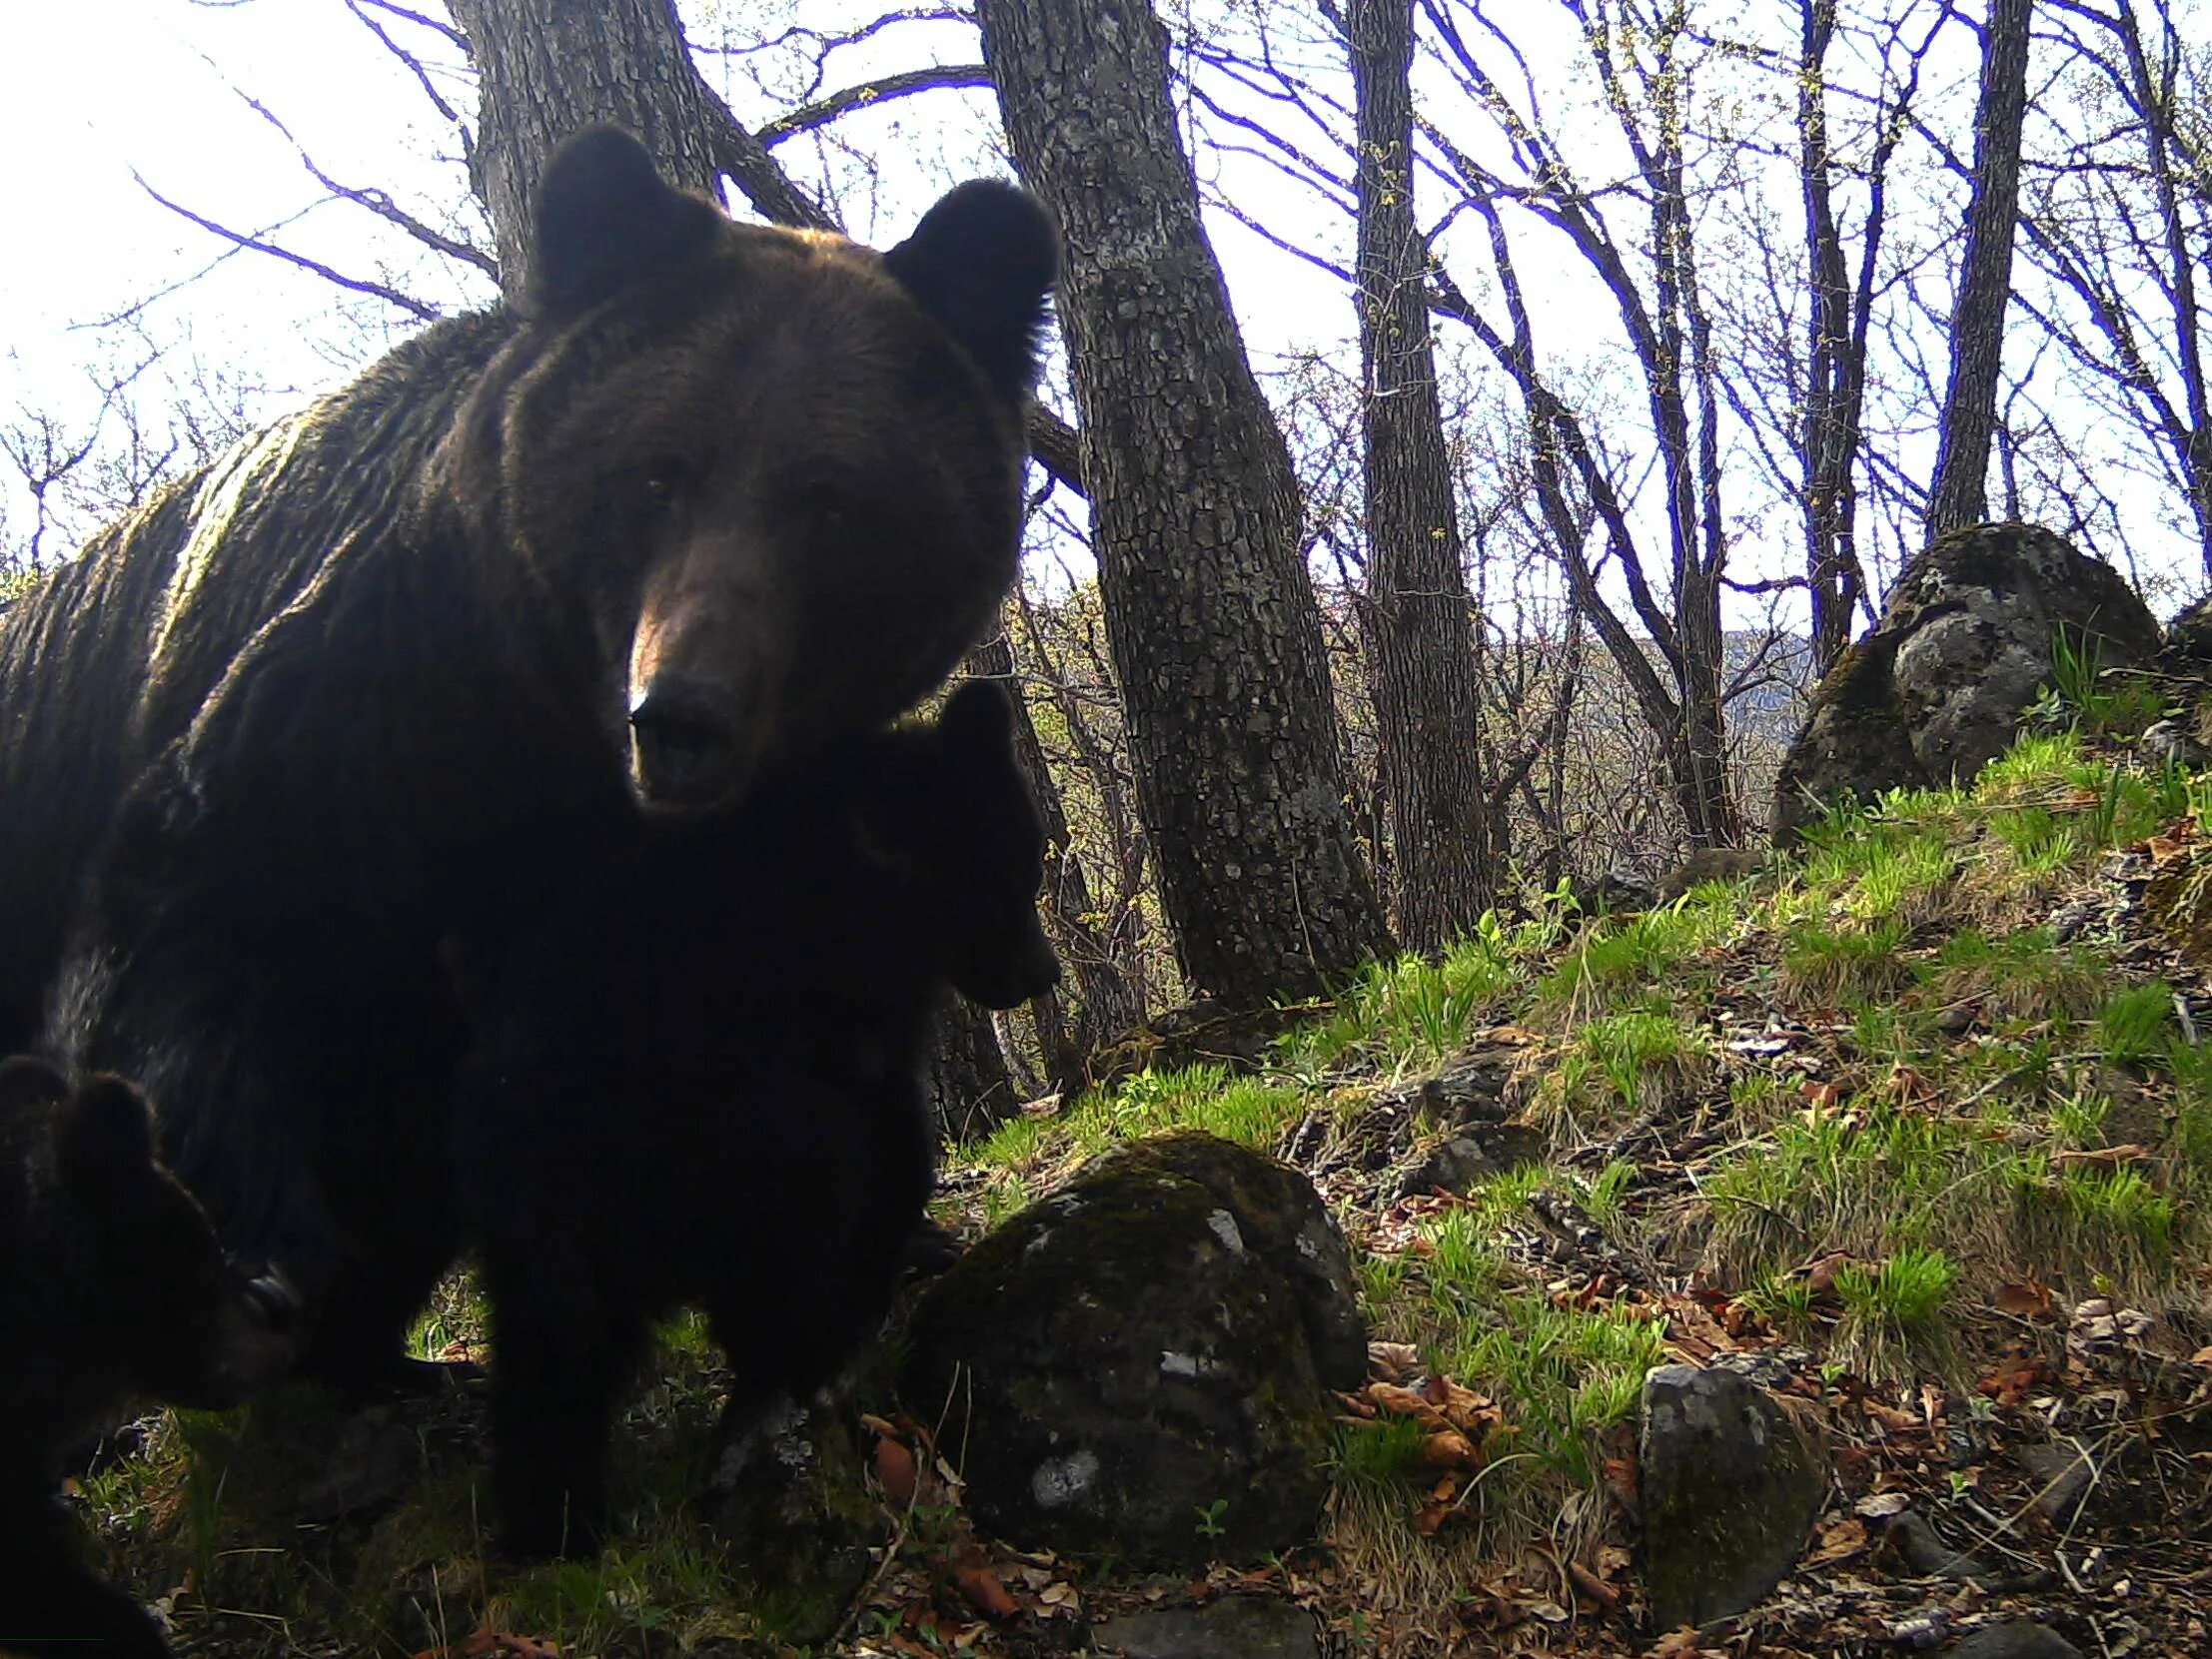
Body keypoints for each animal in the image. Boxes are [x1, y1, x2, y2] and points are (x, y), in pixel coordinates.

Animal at [10, 126, 1052, 1388]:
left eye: (831, 503)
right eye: (658, 472)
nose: (682, 713)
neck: (557, 750)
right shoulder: (365, 690)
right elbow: (194, 901)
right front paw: (265, 1260)